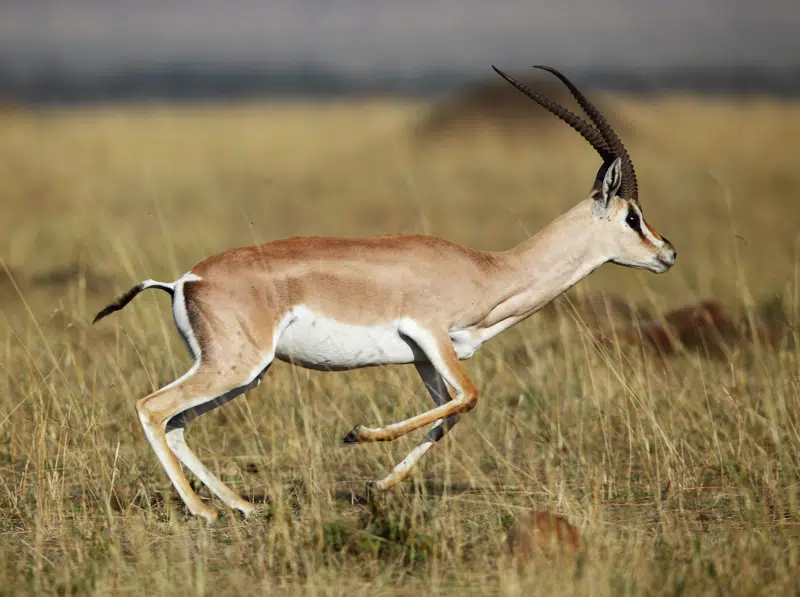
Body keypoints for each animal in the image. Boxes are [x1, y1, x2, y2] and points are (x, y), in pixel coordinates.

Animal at [94, 65, 676, 523]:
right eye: (632, 216)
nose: (668, 253)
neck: (488, 271)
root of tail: (185, 280)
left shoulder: (423, 359)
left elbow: (448, 415)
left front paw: (378, 485)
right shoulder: (432, 336)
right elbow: (470, 396)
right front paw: (356, 435)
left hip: (241, 372)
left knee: (177, 424)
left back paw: (241, 505)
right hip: (234, 366)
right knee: (153, 408)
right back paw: (204, 511)